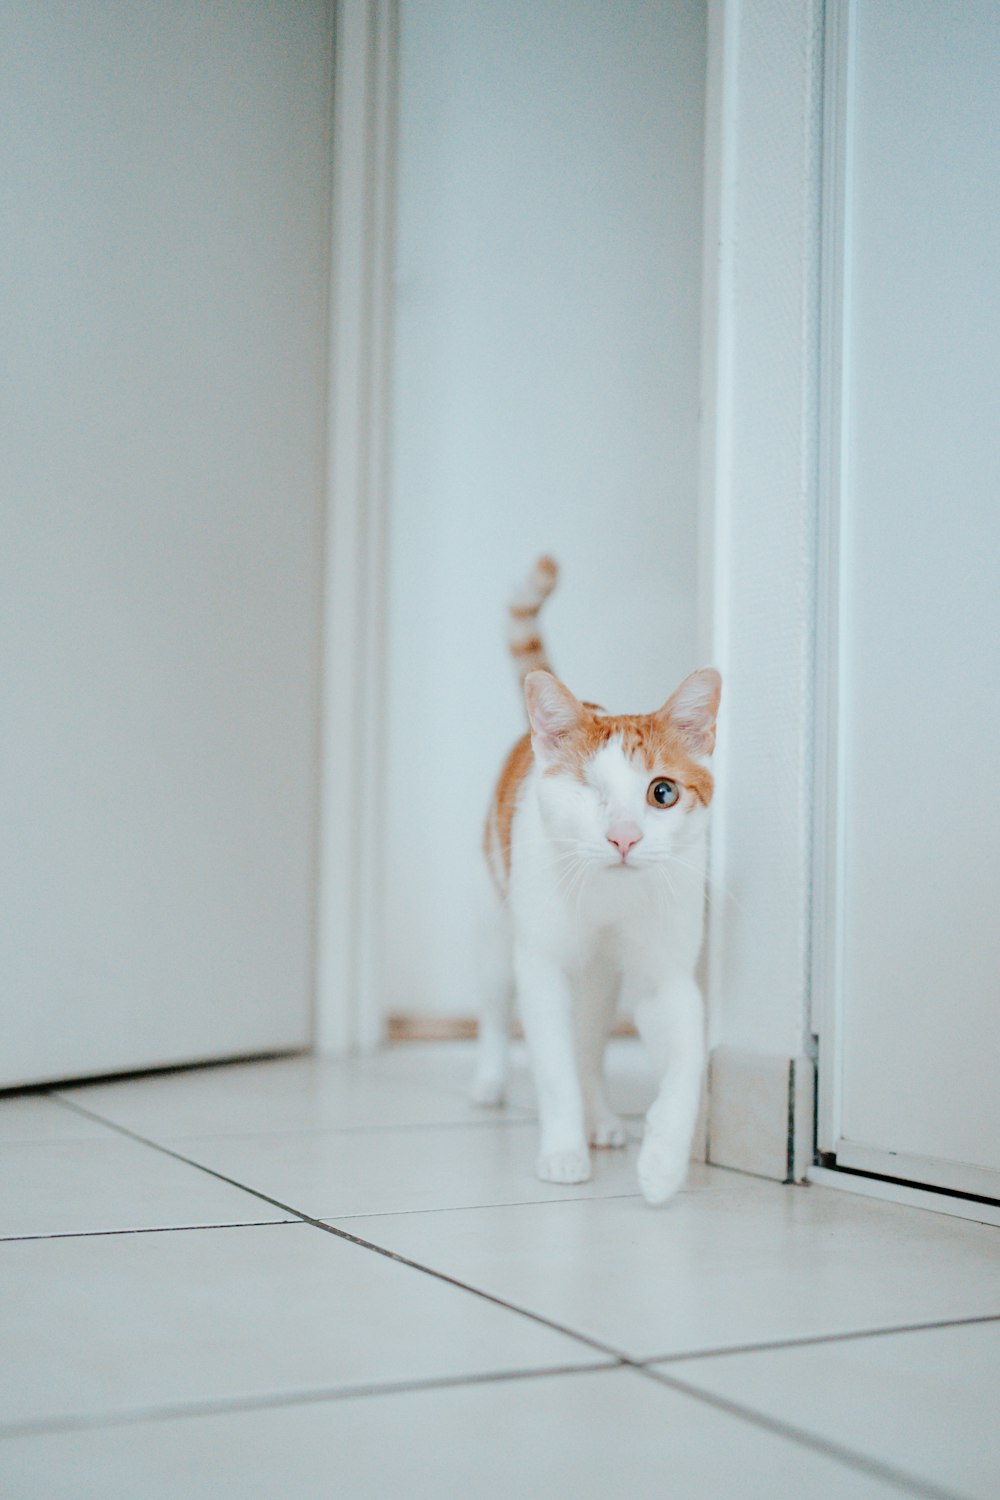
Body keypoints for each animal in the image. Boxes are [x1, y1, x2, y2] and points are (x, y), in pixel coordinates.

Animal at [476, 561, 719, 1206]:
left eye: (662, 792)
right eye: (589, 793)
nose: (623, 838)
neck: (612, 897)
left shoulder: (668, 977)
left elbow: (685, 1064)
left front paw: (662, 1164)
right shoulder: (542, 966)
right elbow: (554, 1069)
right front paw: (563, 1153)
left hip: (602, 979)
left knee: (589, 1043)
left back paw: (604, 1118)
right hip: (499, 924)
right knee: (496, 1002)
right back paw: (490, 1078)